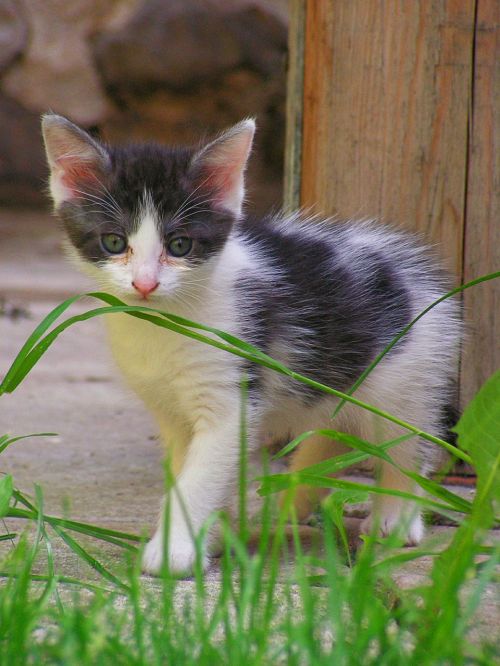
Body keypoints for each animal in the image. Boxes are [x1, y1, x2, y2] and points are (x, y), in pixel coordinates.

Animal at [42, 113, 460, 572]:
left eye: (180, 244)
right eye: (114, 241)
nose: (145, 284)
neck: (163, 325)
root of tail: (410, 272)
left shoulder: (232, 392)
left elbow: (200, 474)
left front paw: (173, 551)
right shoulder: (170, 411)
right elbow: (187, 467)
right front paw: (211, 537)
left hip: (403, 382)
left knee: (406, 445)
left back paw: (396, 517)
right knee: (336, 428)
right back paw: (295, 501)